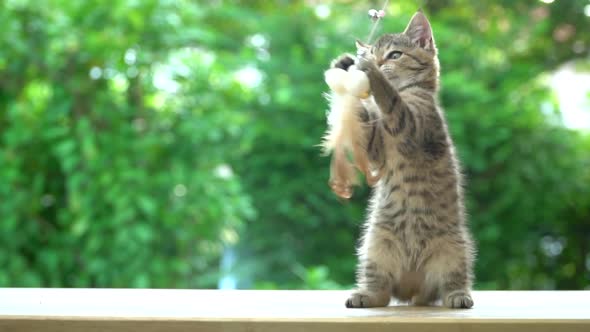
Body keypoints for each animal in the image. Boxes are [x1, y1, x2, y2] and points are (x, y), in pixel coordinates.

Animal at [332, 11, 476, 308]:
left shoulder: (412, 126)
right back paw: (366, 294)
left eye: (394, 55)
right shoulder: (376, 150)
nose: (375, 61)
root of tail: (413, 288)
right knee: (382, 292)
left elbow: (392, 100)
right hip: (375, 246)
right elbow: (365, 123)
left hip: (454, 250)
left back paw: (458, 295)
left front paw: (373, 74)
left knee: (452, 281)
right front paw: (344, 66)